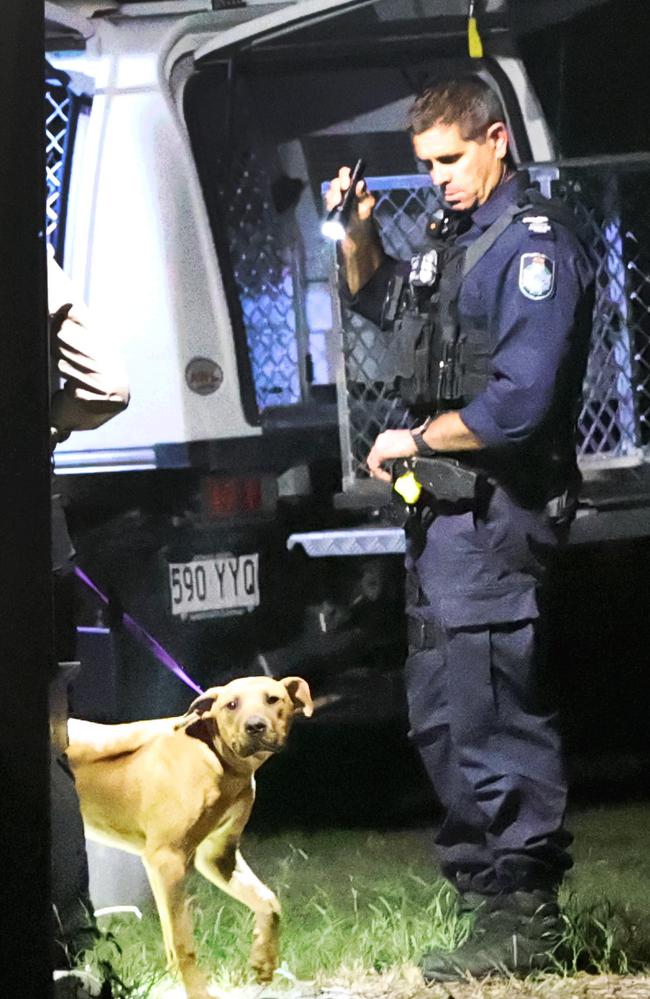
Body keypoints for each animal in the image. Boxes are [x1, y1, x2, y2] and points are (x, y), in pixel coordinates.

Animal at [66, 676, 312, 999]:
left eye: (273, 699)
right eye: (231, 704)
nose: (255, 726)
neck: (218, 759)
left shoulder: (218, 856)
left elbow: (268, 902)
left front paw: (263, 960)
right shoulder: (166, 861)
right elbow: (182, 944)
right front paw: (198, 991)